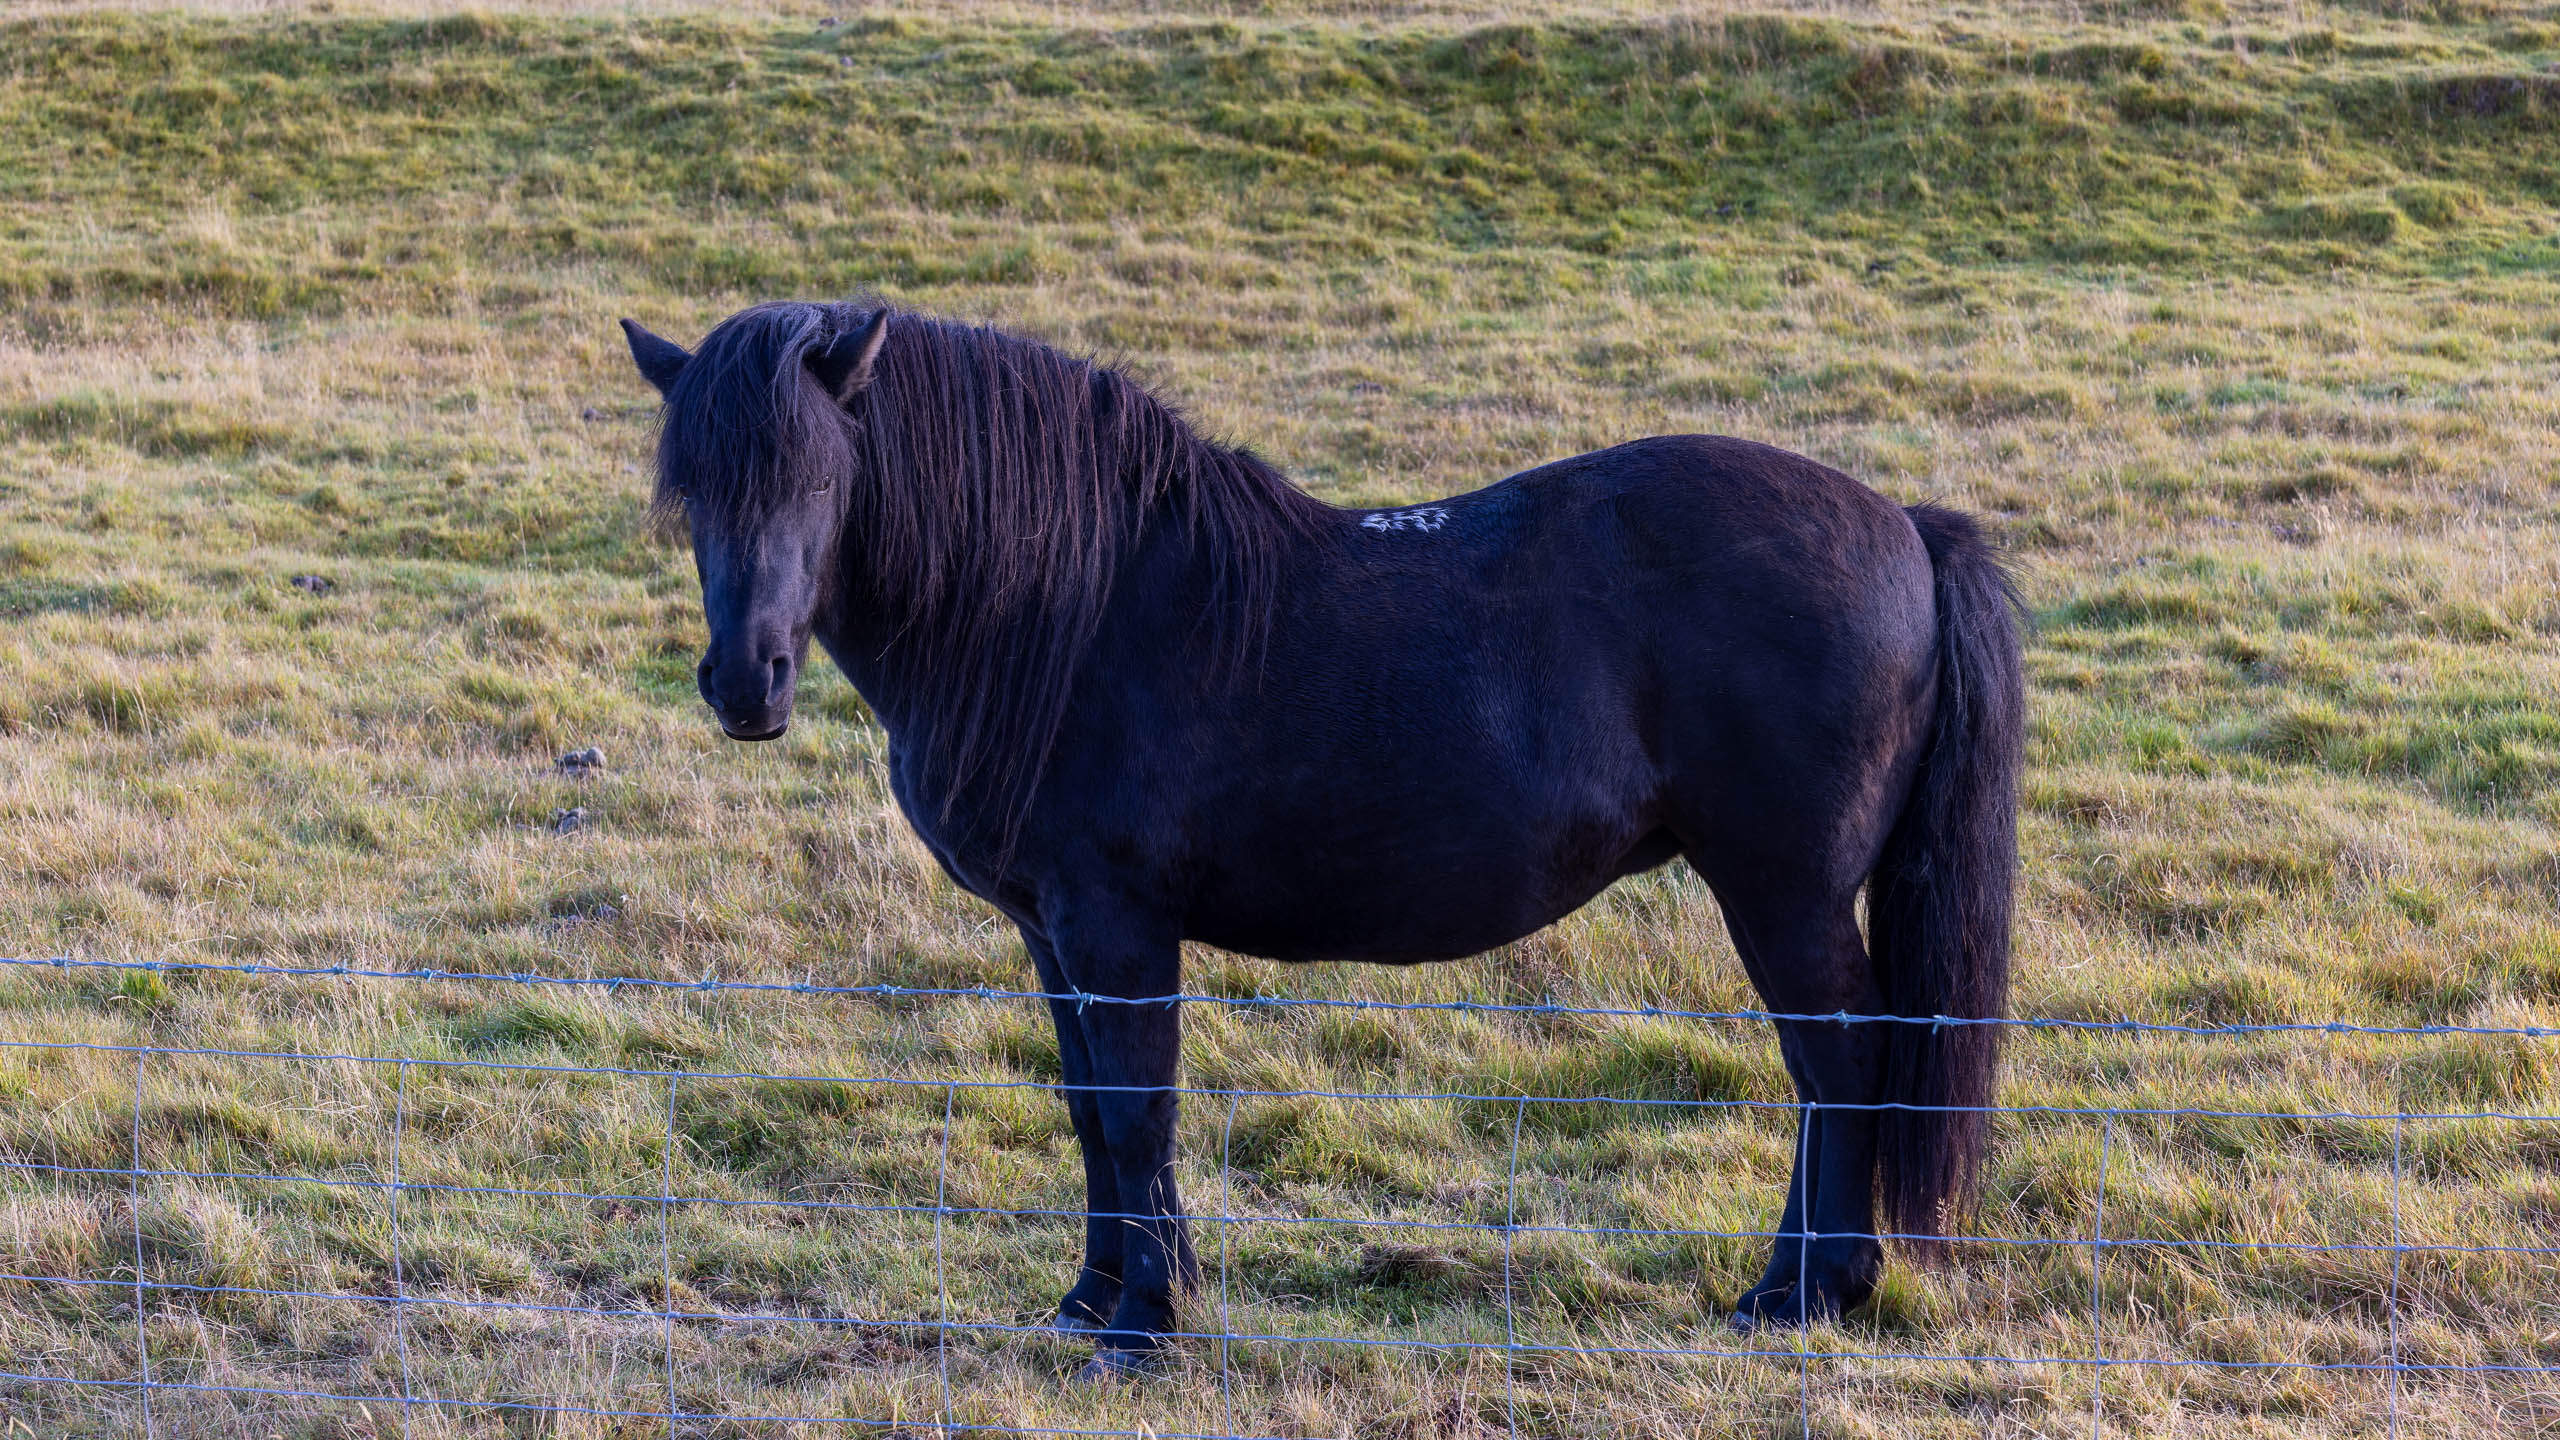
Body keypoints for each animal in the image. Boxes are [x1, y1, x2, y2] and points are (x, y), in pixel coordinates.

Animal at [619, 299, 2017, 1363]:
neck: (1068, 608)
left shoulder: (1117, 928)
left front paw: (1146, 1324)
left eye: (816, 478)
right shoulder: (1051, 936)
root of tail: (1902, 525)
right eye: (688, 496)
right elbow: (1087, 1111)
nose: (746, 686)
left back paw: (1806, 1295)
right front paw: (1093, 1299)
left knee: (1840, 1063)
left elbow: (1139, 1108)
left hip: (1780, 890)